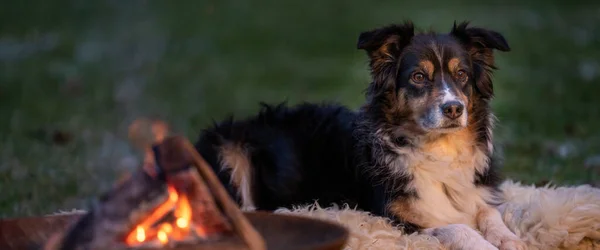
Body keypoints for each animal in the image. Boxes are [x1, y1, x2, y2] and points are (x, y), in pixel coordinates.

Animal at [196, 20, 524, 249]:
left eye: (462, 75)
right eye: (418, 77)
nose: (454, 108)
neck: (436, 150)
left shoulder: (477, 194)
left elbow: (489, 212)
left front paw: (509, 238)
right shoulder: (396, 219)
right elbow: (457, 226)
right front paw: (484, 245)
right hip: (229, 148)